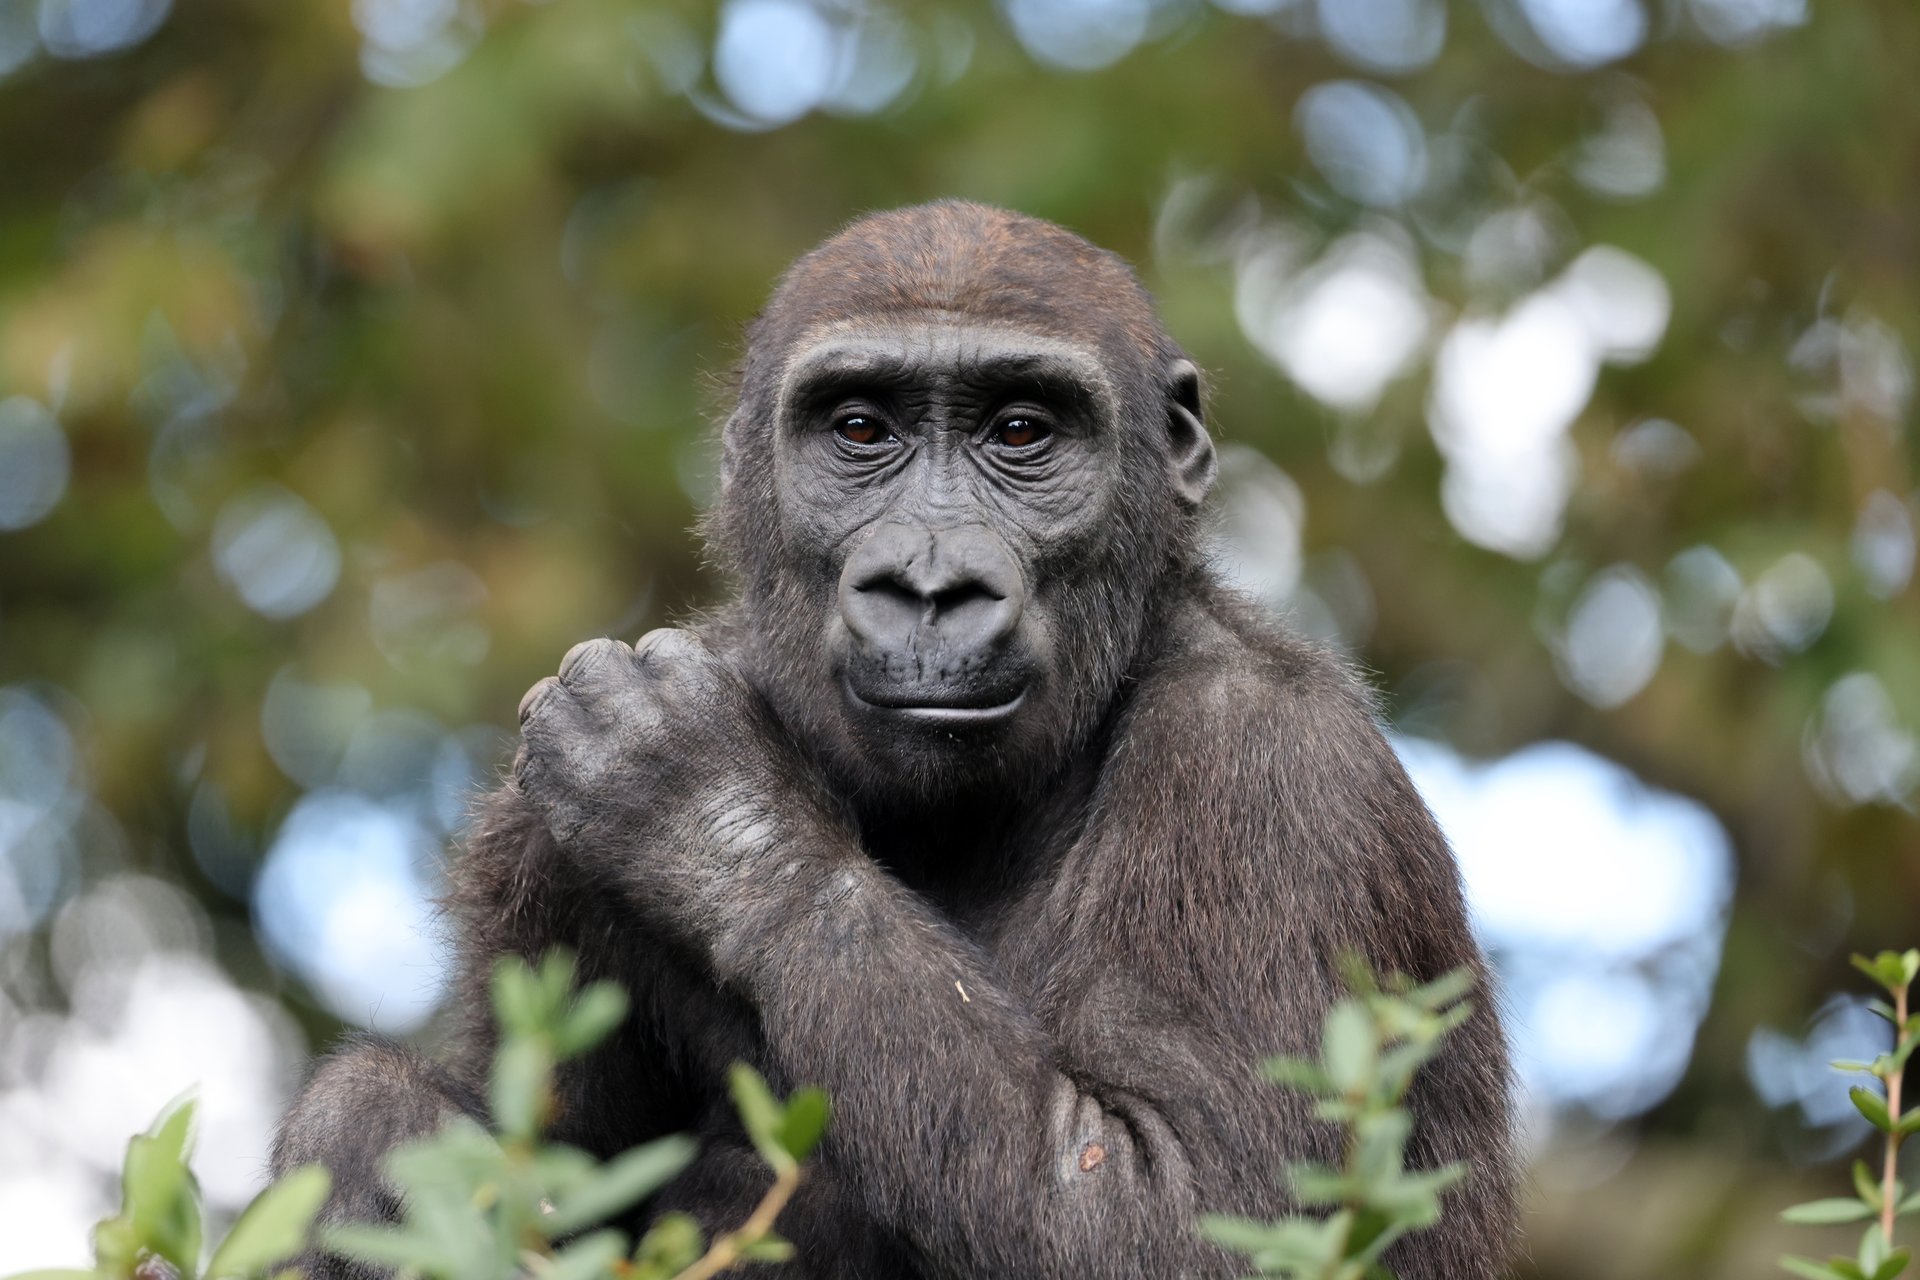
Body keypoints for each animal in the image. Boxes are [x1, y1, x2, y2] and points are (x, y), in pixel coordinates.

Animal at [273, 200, 1516, 1279]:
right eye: (860, 429)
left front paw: (708, 808)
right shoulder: (532, 849)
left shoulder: (1272, 762)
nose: (929, 584)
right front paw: (373, 1138)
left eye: (1022, 431)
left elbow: (1181, 1210)